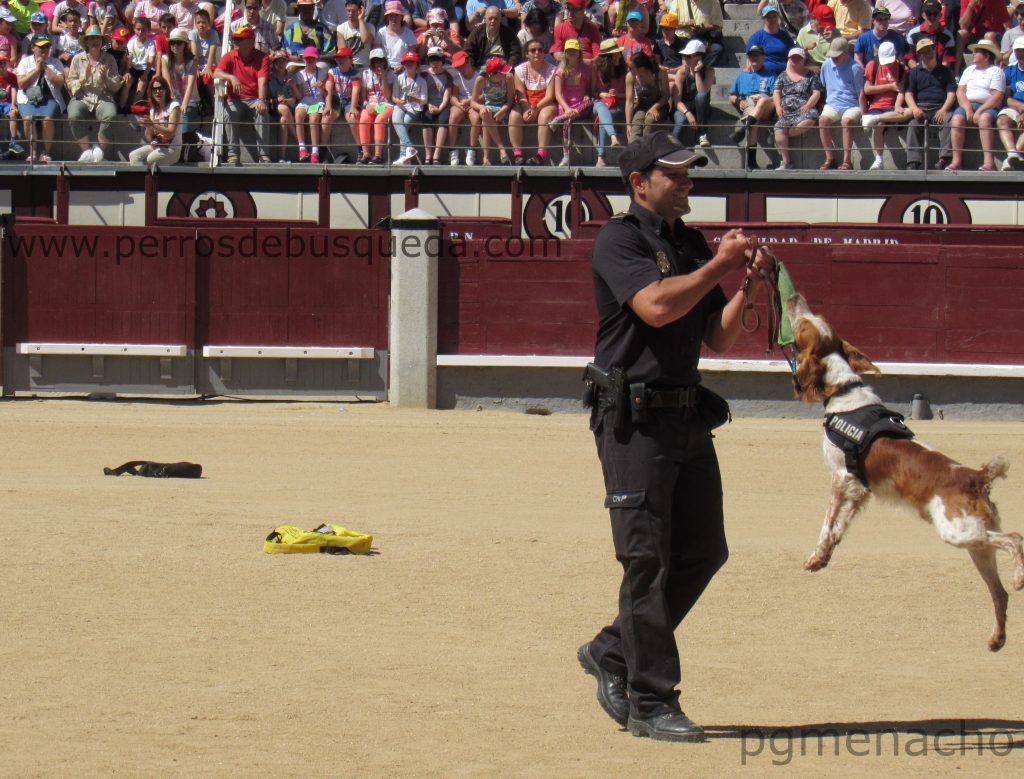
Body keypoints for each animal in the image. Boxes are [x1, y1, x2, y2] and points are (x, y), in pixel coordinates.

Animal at [786, 290, 1019, 651]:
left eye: (802, 325)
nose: (794, 296)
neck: (845, 390)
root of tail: (976, 477)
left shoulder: (841, 478)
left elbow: (827, 524)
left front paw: (814, 557)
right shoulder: (860, 488)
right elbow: (841, 526)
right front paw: (825, 557)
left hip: (961, 533)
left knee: (1015, 540)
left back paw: (1020, 578)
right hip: (976, 544)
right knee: (999, 592)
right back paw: (997, 638)